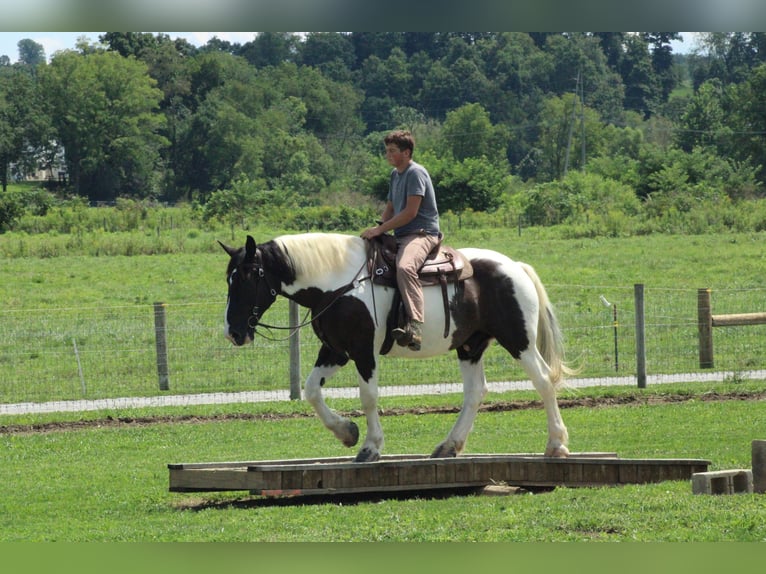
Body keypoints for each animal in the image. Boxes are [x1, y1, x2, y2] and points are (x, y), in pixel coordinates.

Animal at [219, 232, 572, 462]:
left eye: (248, 276)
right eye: (229, 278)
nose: (233, 333)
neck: (338, 283)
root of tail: (515, 267)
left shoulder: (363, 351)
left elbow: (368, 397)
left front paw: (370, 447)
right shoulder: (336, 351)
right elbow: (311, 390)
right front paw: (346, 432)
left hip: (519, 340)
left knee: (544, 381)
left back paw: (556, 445)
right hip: (470, 346)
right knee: (475, 392)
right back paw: (449, 446)